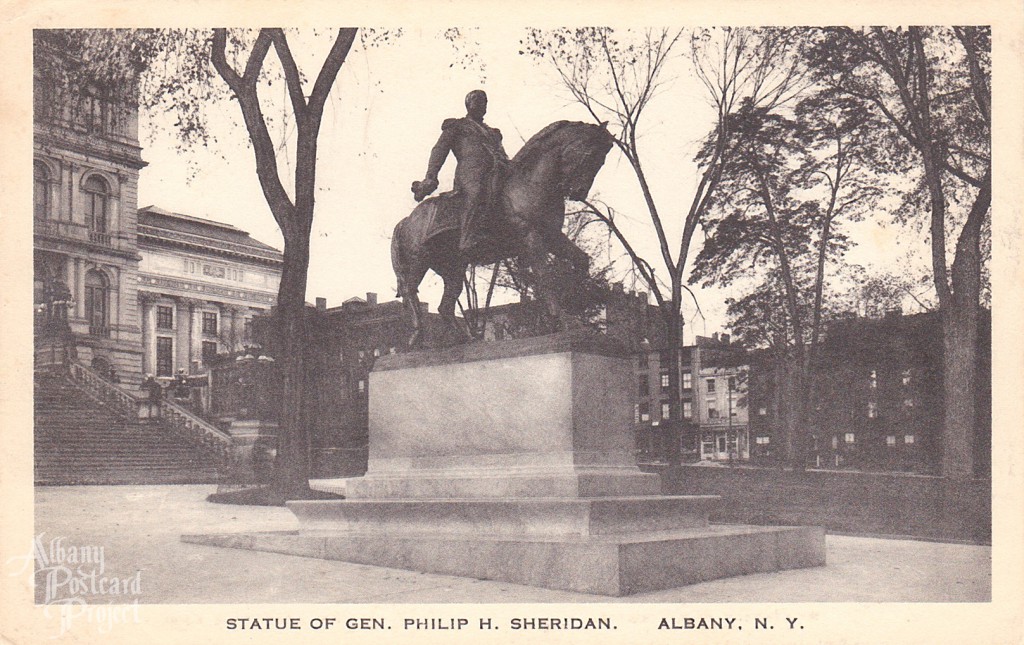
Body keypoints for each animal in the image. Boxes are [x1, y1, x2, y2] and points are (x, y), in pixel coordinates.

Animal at [389, 123, 614, 352]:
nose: (579, 192)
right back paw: (416, 339)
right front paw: (562, 319)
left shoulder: (552, 236)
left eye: (602, 161)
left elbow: (581, 259)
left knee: (445, 306)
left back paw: (464, 339)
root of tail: (406, 220)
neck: (530, 184)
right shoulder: (530, 236)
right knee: (410, 292)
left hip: (453, 268)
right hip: (419, 261)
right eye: (590, 155)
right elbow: (544, 276)